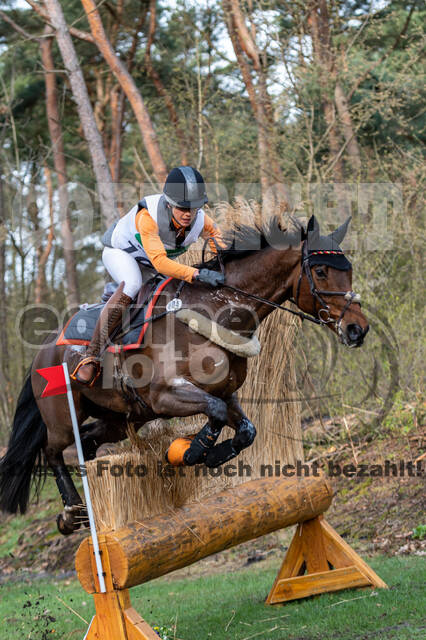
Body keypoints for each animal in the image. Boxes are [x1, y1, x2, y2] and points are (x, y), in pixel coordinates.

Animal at [0, 214, 368, 528]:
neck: (217, 311)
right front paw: (192, 451)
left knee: (88, 443)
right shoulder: (166, 395)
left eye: (348, 270)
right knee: (53, 451)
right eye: (321, 272)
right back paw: (71, 512)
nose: (357, 330)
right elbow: (215, 414)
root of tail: (44, 349)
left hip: (120, 418)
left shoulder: (226, 393)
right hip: (64, 417)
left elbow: (246, 429)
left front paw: (211, 453)